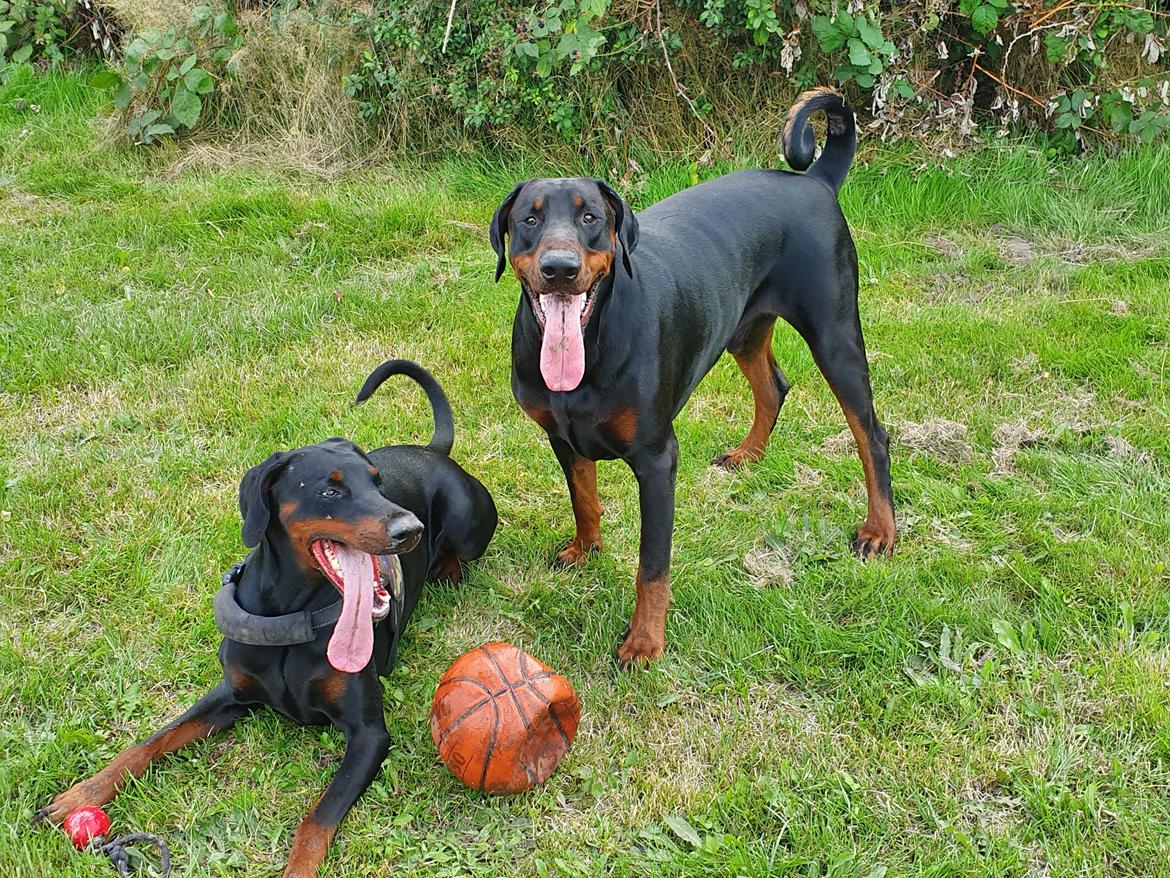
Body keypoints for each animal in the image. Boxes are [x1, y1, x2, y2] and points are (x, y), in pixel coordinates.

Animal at [34, 360, 496, 875]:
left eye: (377, 483)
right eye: (330, 489)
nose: (410, 529)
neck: (294, 615)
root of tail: (431, 450)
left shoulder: (368, 734)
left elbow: (317, 818)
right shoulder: (229, 693)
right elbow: (148, 742)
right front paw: (79, 796)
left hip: (467, 522)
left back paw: (445, 569)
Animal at [489, 87, 889, 664]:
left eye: (590, 218)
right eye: (529, 219)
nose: (560, 268)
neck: (593, 341)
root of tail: (814, 180)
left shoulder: (657, 460)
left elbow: (652, 565)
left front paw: (644, 642)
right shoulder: (561, 438)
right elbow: (584, 499)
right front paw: (585, 550)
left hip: (835, 337)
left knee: (871, 435)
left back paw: (879, 531)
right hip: (744, 327)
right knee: (774, 386)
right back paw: (748, 455)